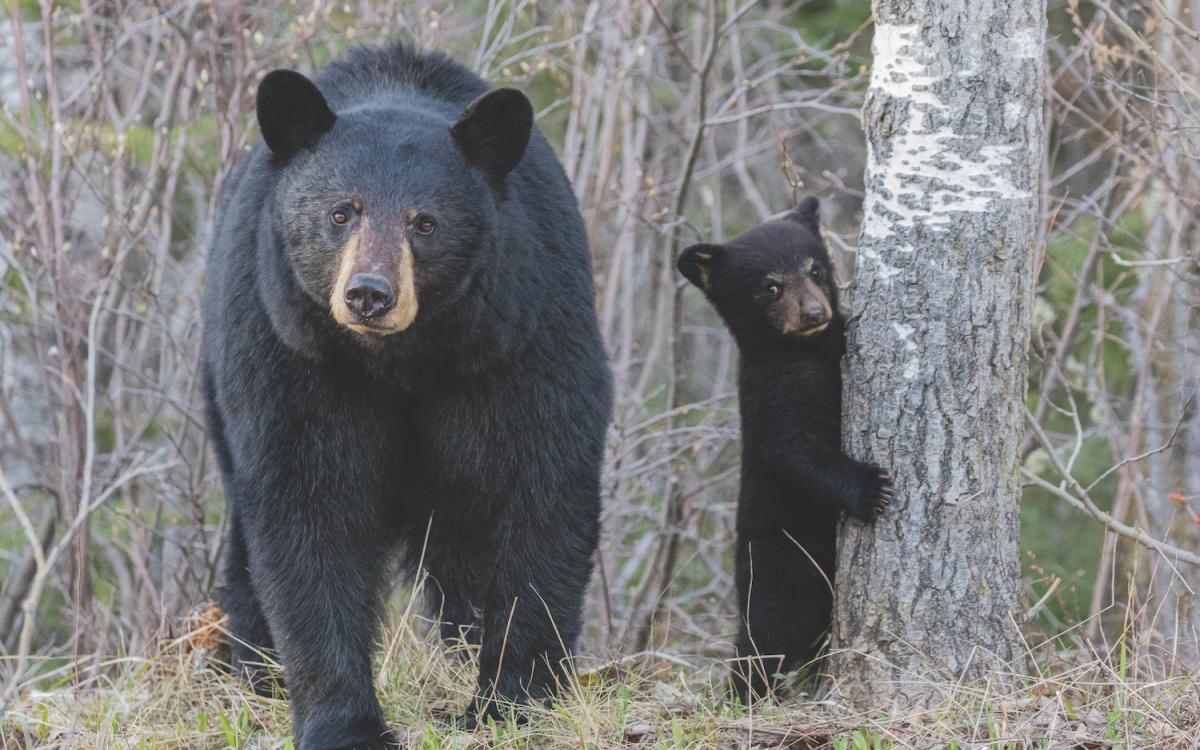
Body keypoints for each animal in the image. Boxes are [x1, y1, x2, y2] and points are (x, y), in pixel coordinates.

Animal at [201, 43, 613, 749]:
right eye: (341, 212)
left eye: (425, 223)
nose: (369, 293)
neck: (402, 360)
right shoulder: (291, 354)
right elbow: (309, 507)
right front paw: (344, 723)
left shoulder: (520, 335)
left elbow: (540, 485)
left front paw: (510, 701)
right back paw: (255, 673)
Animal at [676, 198, 892, 703]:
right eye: (770, 286)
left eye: (815, 268)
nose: (814, 312)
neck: (807, 351)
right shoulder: (771, 393)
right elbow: (794, 452)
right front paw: (872, 488)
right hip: (783, 566)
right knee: (769, 635)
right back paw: (745, 695)